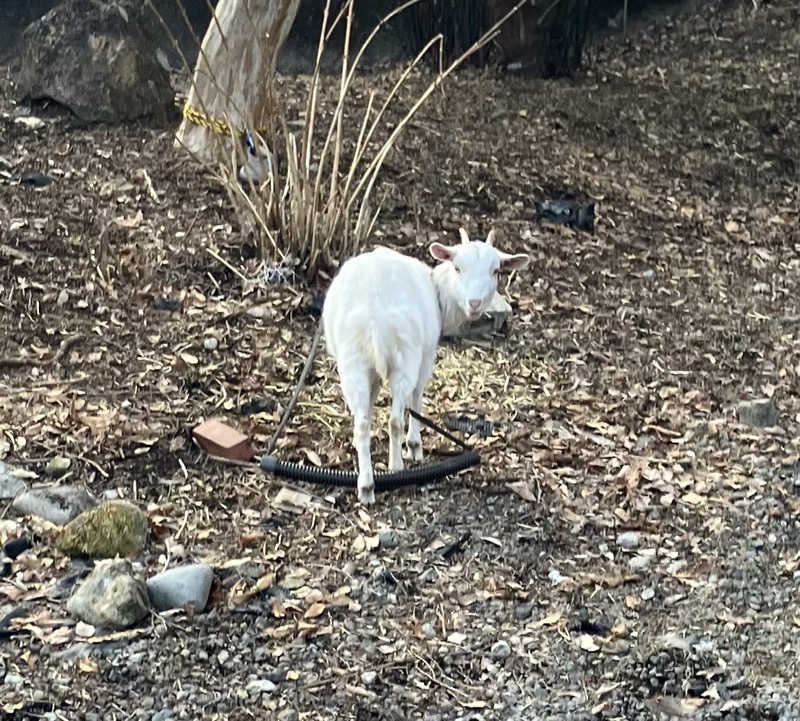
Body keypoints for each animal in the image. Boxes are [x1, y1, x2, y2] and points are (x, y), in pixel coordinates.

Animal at [322, 228, 528, 504]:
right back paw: (396, 467)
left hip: (353, 361)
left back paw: (365, 485)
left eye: (496, 270)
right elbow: (417, 398)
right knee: (395, 419)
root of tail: (374, 318)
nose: (474, 304)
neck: (440, 293)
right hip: (405, 356)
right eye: (457, 267)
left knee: (362, 425)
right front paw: (414, 446)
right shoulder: (426, 355)